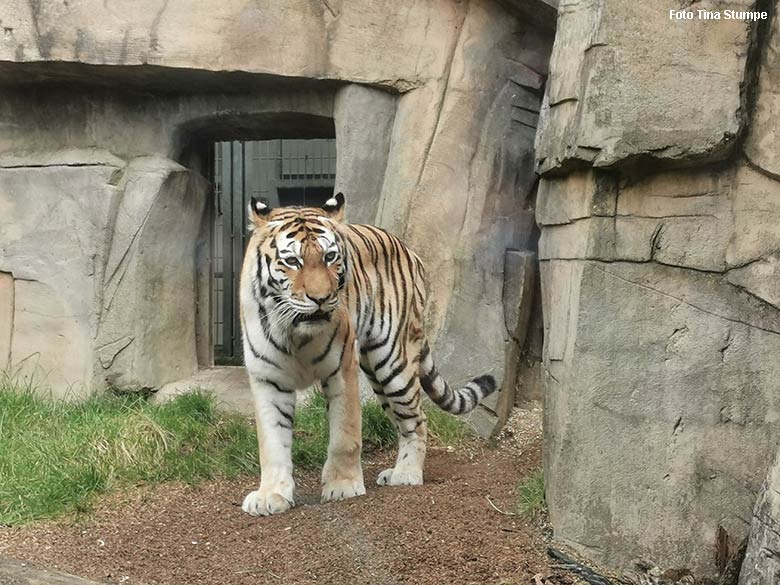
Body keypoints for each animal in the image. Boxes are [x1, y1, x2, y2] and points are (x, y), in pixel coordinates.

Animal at [241, 193, 496, 516]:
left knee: (417, 420)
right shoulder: (268, 378)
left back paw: (406, 474)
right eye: (292, 261)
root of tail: (410, 251)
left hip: (393, 361)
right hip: (377, 373)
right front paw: (271, 495)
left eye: (329, 257)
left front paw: (343, 486)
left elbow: (344, 434)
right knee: (402, 421)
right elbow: (272, 443)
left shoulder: (341, 368)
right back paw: (395, 471)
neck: (296, 331)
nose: (321, 299)